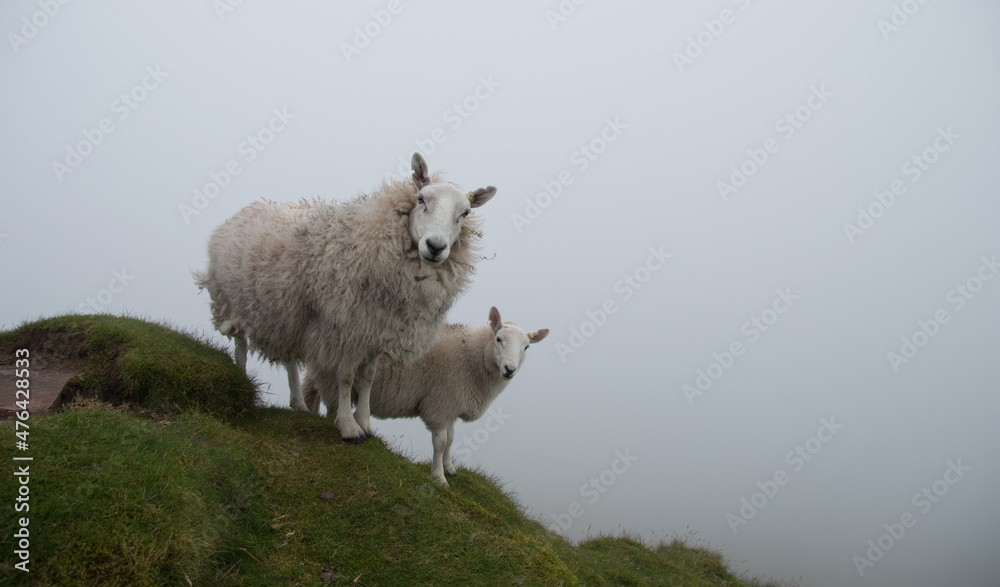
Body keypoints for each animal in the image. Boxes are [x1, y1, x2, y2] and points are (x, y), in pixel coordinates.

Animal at [195, 153, 496, 441]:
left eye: (465, 213)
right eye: (421, 199)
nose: (435, 246)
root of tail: (248, 209)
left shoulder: (377, 330)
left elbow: (367, 379)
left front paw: (365, 423)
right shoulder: (345, 327)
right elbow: (347, 377)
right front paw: (349, 427)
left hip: (290, 312)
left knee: (290, 357)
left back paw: (298, 404)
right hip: (234, 301)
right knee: (241, 344)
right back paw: (241, 377)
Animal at [302, 306, 549, 487]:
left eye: (526, 347)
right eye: (498, 339)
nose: (509, 369)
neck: (470, 355)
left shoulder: (451, 405)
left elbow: (451, 439)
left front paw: (450, 468)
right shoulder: (440, 404)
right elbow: (440, 443)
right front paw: (439, 477)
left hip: (320, 372)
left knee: (311, 393)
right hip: (331, 375)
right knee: (333, 405)